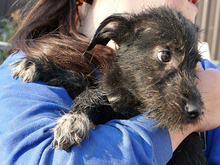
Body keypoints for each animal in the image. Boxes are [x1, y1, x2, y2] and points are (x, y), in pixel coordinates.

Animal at [11, 7, 206, 164]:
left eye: (195, 63)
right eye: (165, 55)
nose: (195, 112)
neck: (125, 90)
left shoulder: (126, 112)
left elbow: (92, 94)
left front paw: (74, 119)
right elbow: (82, 80)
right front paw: (38, 65)